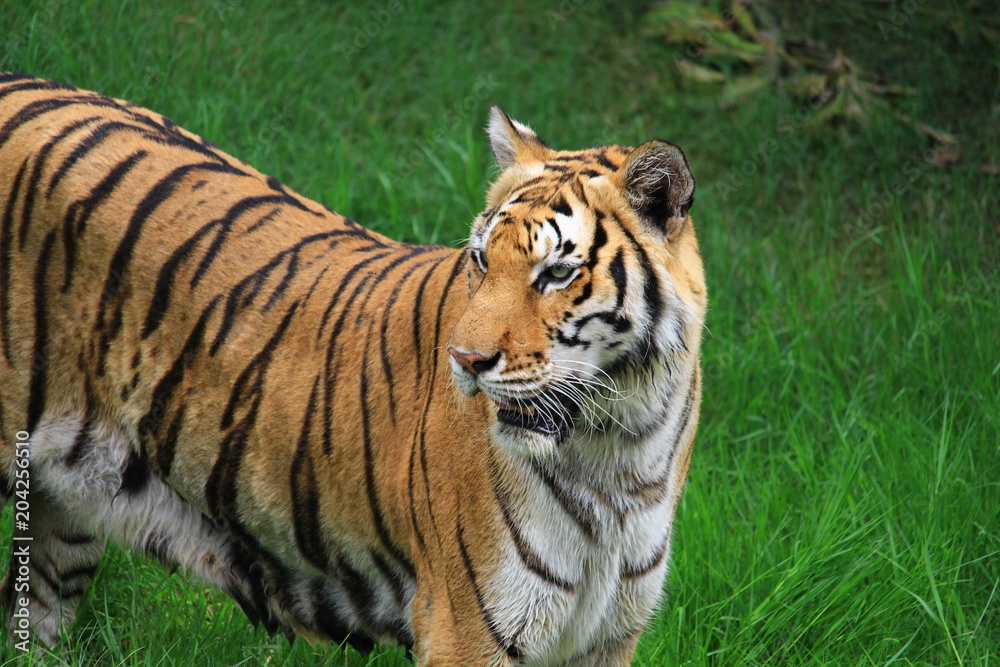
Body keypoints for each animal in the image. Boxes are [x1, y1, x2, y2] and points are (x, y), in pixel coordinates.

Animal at [0, 74, 708, 667]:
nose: (465, 362)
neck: (619, 446)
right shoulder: (466, 629)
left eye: (557, 272)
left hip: (66, 516)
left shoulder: (607, 635)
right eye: (481, 260)